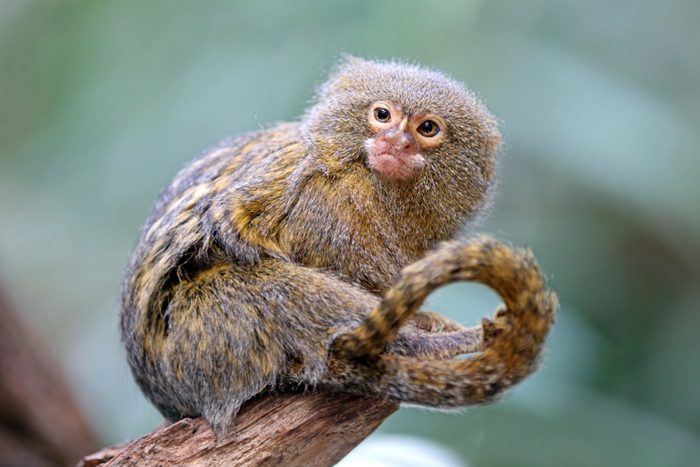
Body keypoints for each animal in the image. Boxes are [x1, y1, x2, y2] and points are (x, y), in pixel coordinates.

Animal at [119, 56, 558, 433]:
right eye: (382, 115)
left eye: (427, 129)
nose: (396, 142)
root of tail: (175, 403)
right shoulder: (325, 206)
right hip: (200, 338)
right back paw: (438, 343)